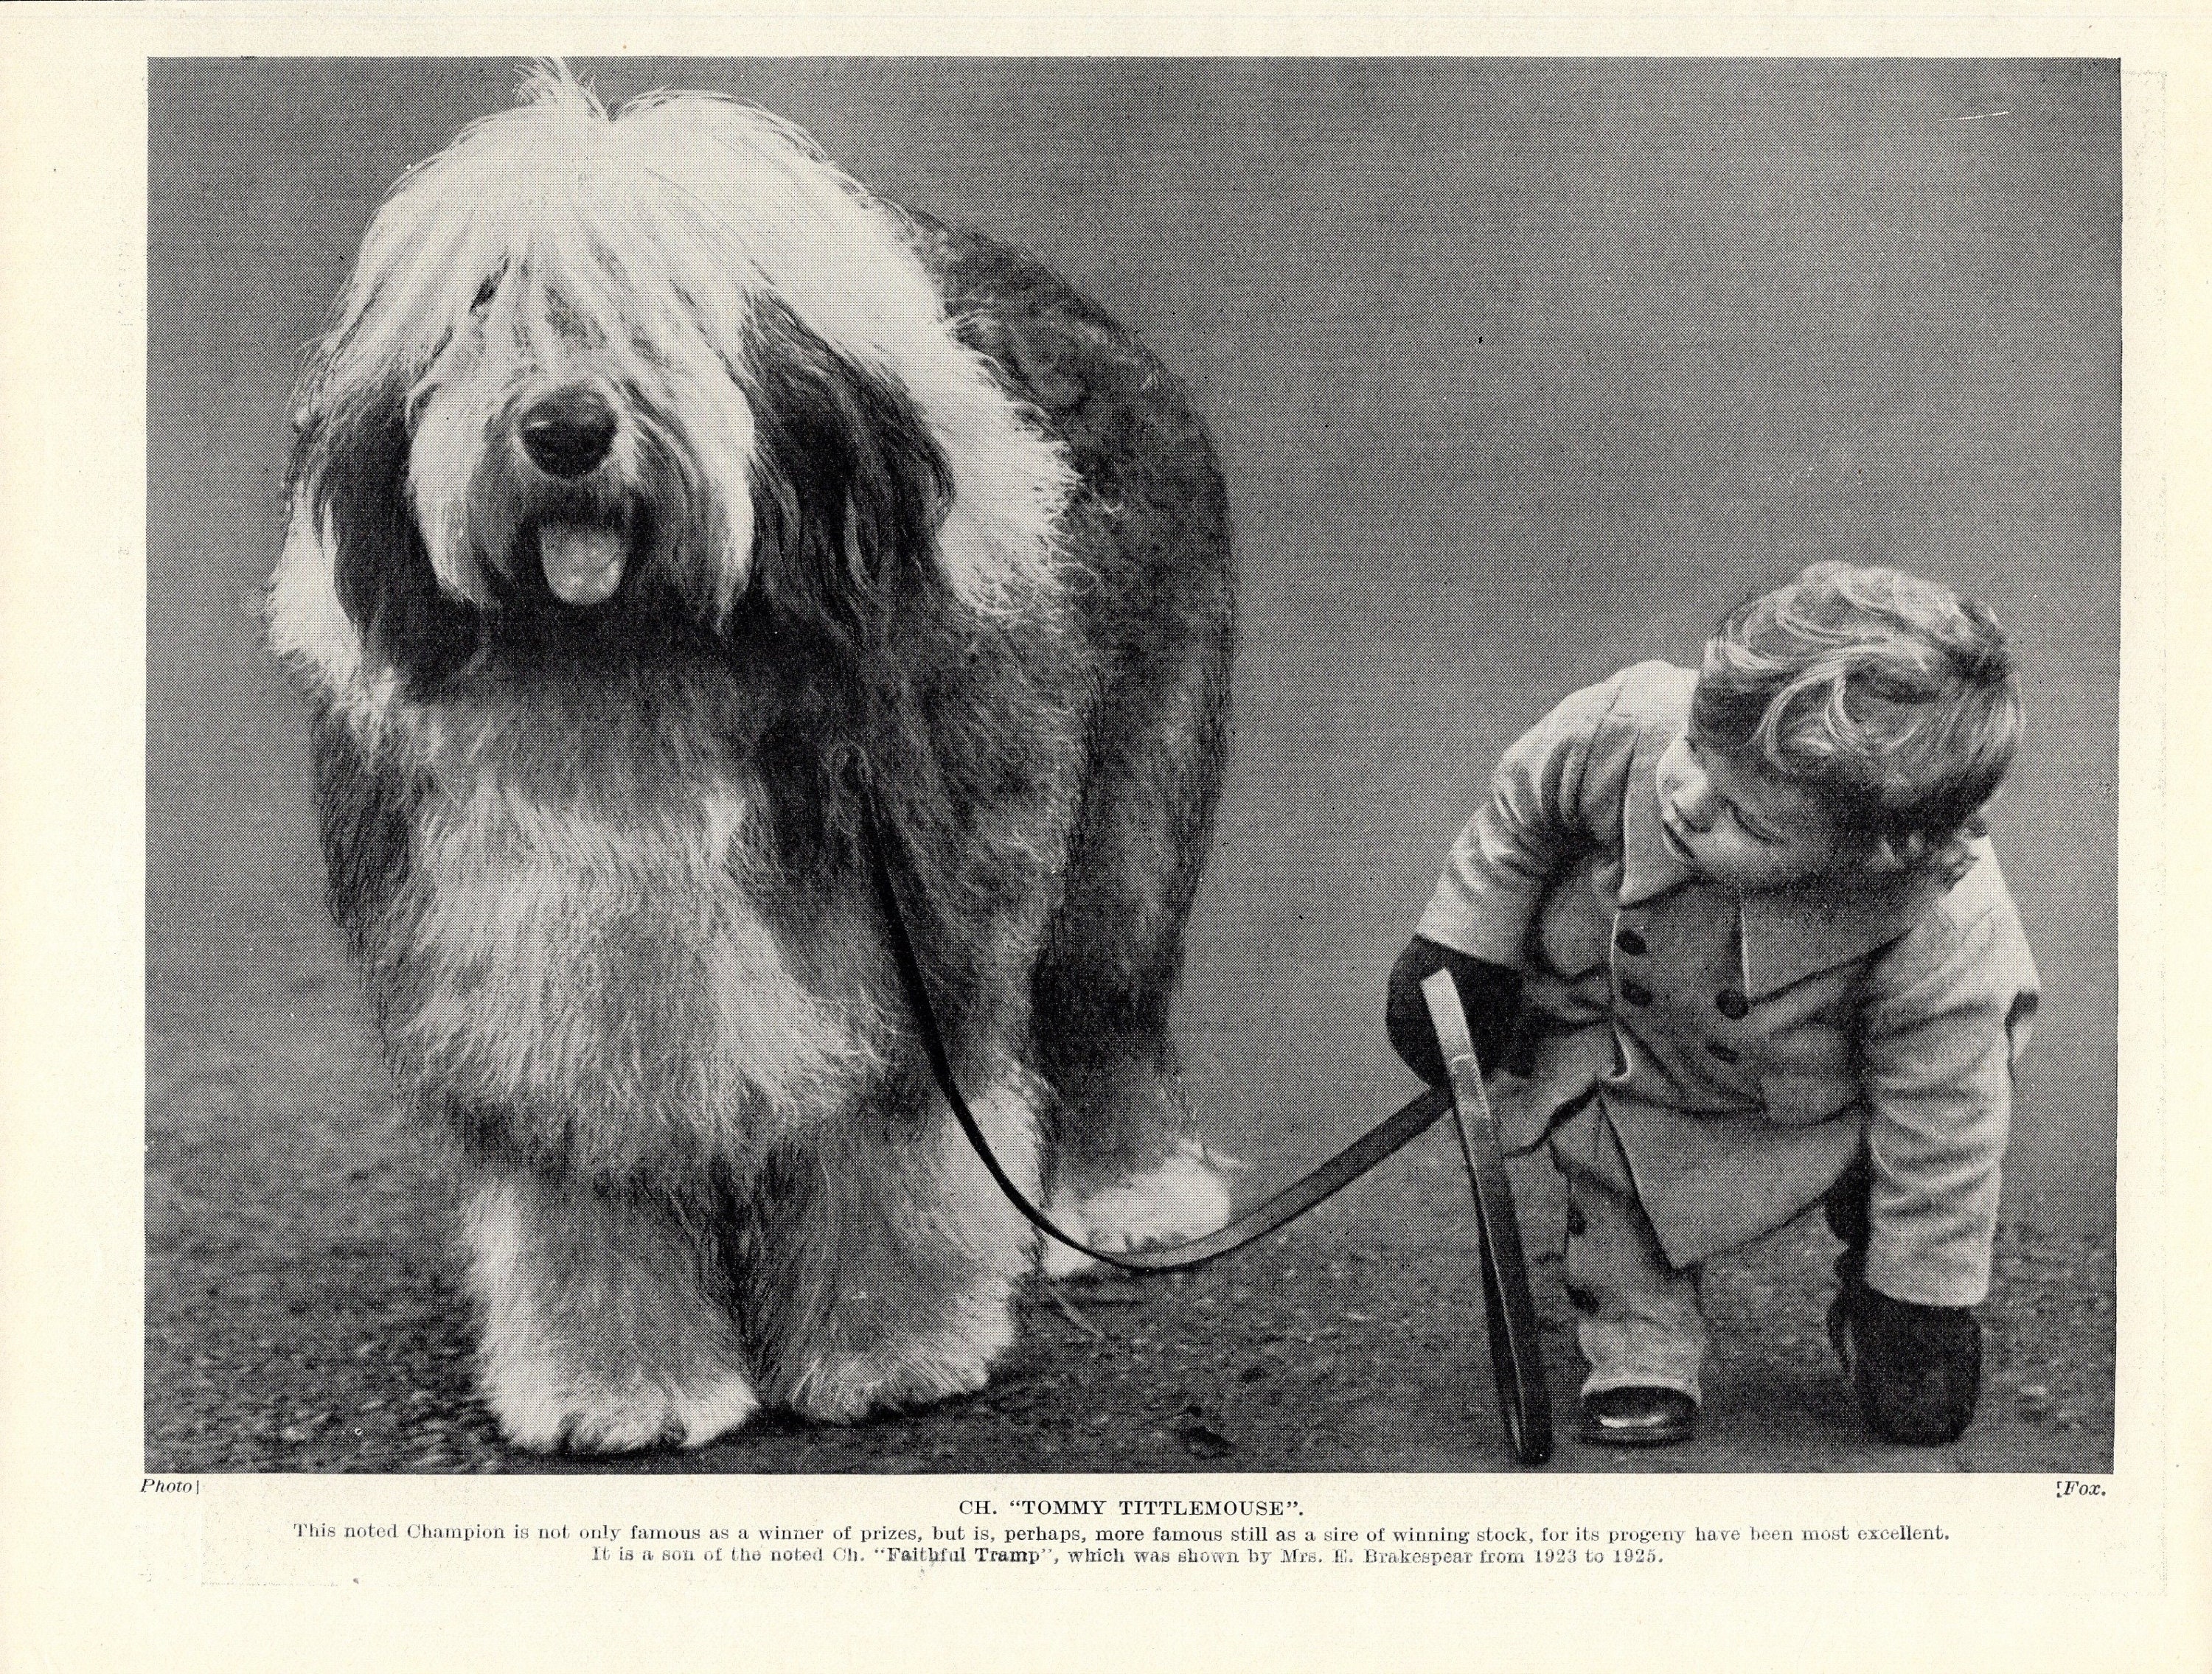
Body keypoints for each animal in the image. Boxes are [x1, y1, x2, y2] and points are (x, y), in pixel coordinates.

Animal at [268, 69, 1239, 1451]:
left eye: (672, 298)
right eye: (487, 298)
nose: (568, 428)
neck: (633, 664)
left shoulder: (905, 925)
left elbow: (888, 1151)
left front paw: (890, 1353)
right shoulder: (536, 974)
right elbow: (587, 1203)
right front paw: (616, 1388)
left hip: (1135, 804)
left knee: (1110, 996)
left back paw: (1134, 1200)